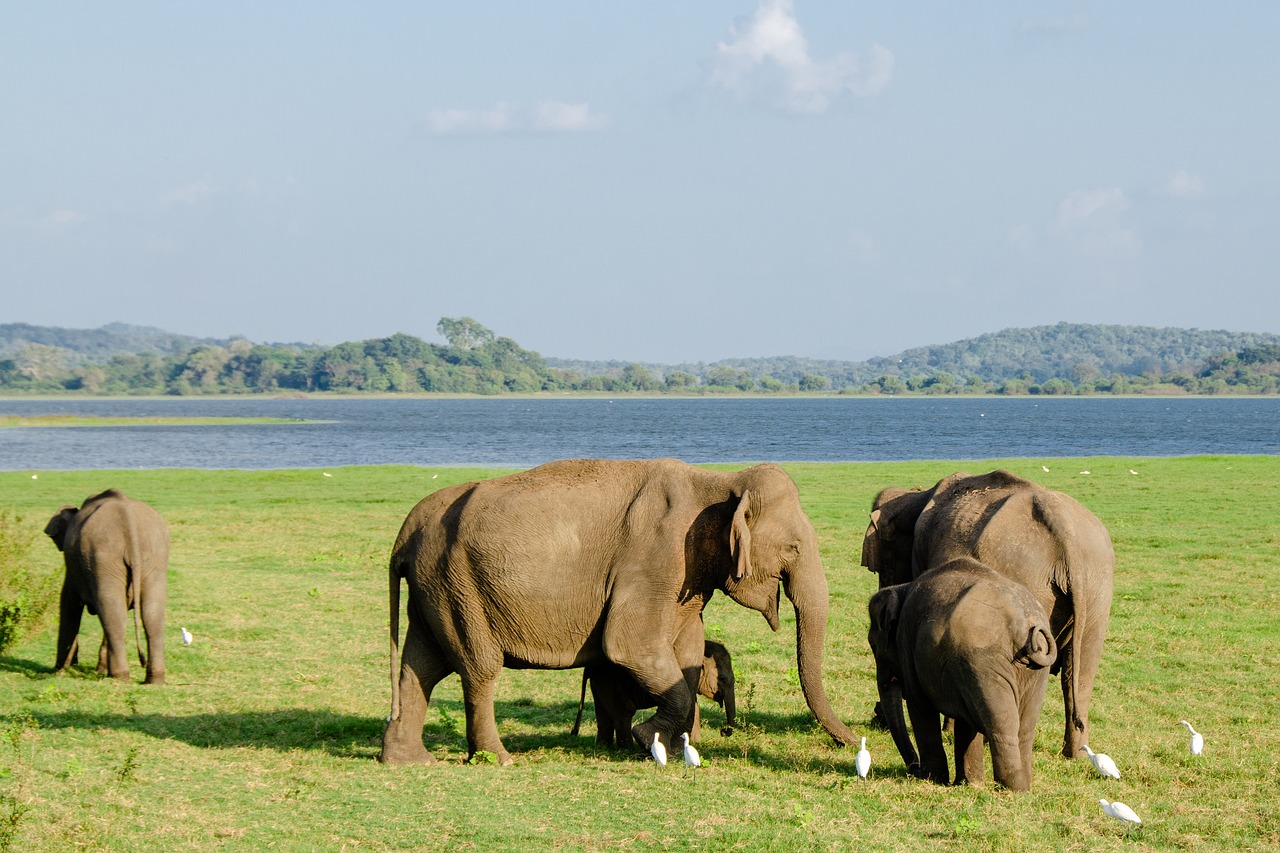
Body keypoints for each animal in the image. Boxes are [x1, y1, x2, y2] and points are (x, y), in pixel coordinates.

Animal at [45, 489, 170, 681]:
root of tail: (129, 520)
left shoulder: (73, 567)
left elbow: (68, 603)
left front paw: (61, 669)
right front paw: (98, 669)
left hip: (103, 557)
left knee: (112, 611)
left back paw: (120, 677)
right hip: (155, 557)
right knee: (149, 614)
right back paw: (153, 680)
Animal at [573, 635, 742, 742]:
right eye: (723, 679)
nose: (723, 731)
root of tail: (589, 667)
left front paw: (694, 743)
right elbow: (693, 707)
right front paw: (695, 743)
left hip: (600, 683)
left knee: (604, 713)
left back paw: (604, 747)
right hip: (612, 684)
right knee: (623, 713)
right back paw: (626, 749)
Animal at [865, 468, 1116, 753]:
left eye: (879, 566)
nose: (877, 718)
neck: (917, 494)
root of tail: (1065, 530)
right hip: (1097, 587)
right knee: (1080, 672)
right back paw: (1075, 754)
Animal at [865, 555, 1054, 788]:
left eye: (873, 645)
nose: (913, 770)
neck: (902, 588)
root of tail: (1023, 622)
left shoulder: (907, 645)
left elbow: (919, 705)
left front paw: (933, 779)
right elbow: (966, 721)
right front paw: (969, 784)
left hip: (984, 661)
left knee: (1001, 723)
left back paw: (1009, 787)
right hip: (1031, 673)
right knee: (1024, 728)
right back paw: (1023, 788)